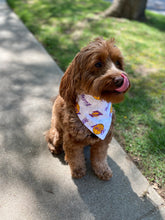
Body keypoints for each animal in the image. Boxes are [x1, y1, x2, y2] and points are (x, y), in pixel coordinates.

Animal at [45, 36, 130, 180]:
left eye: (118, 63)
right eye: (98, 64)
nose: (120, 80)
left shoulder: (103, 140)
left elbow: (99, 157)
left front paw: (102, 170)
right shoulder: (71, 140)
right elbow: (75, 157)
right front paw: (78, 170)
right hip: (57, 134)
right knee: (51, 138)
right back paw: (54, 148)